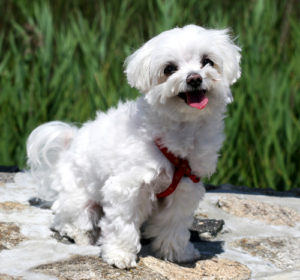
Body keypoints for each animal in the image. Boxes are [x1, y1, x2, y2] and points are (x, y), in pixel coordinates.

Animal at [25, 24, 241, 270]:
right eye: (169, 68)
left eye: (207, 61)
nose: (194, 78)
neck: (181, 130)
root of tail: (70, 143)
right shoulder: (128, 187)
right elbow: (123, 223)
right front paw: (119, 254)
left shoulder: (185, 186)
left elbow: (173, 223)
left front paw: (177, 252)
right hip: (79, 199)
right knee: (68, 220)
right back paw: (82, 234)